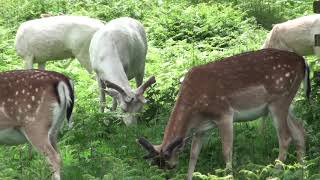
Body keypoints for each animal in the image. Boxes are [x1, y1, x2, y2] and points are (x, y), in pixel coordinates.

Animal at [138, 48, 310, 180]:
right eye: (158, 166)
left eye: (170, 166)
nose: (168, 173)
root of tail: (303, 61)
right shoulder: (202, 128)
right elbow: (194, 154)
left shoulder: (224, 114)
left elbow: (226, 151)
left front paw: (229, 176)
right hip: (287, 102)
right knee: (299, 130)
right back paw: (302, 171)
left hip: (278, 100)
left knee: (285, 137)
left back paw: (275, 173)